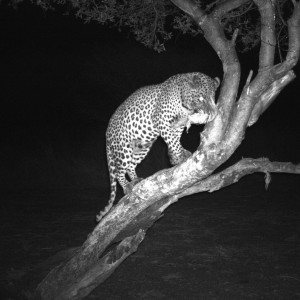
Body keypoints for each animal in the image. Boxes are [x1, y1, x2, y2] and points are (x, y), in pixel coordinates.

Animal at [96, 72, 220, 221]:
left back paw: (136, 180)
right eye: (201, 97)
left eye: (213, 98)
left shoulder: (178, 125)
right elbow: (173, 141)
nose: (210, 113)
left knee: (130, 165)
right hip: (123, 148)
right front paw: (179, 156)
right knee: (120, 170)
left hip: (141, 146)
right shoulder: (162, 121)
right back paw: (127, 186)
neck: (184, 104)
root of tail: (107, 132)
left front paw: (175, 157)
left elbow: (175, 140)